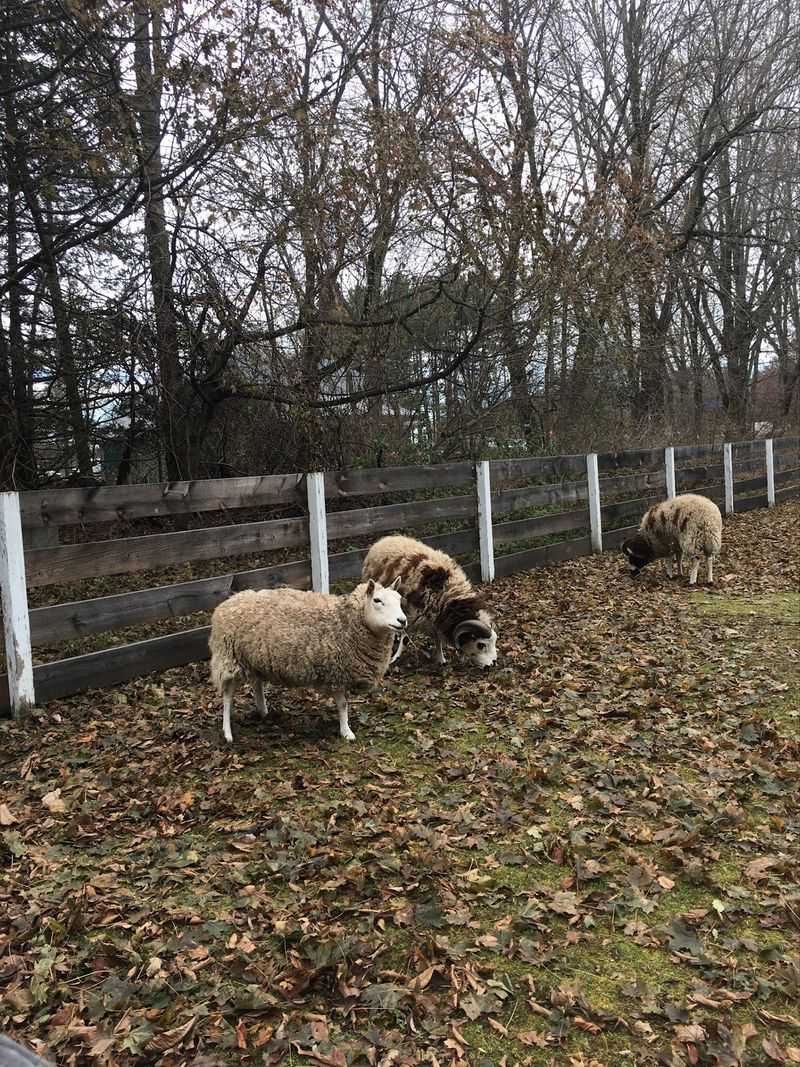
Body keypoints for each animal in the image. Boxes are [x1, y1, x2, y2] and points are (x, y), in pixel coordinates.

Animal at [209, 578, 406, 744]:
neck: (346, 622)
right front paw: (346, 732)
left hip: (254, 658)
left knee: (257, 684)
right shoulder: (336, 673)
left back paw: (264, 712)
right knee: (227, 696)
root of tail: (227, 603)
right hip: (229, 658)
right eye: (377, 600)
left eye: (399, 599)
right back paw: (227, 733)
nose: (402, 620)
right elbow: (343, 705)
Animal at [362, 534, 497, 668]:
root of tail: (385, 539)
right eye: (481, 645)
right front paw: (395, 658)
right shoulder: (412, 614)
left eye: (495, 640)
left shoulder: (434, 617)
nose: (493, 664)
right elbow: (405, 638)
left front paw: (441, 659)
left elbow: (437, 638)